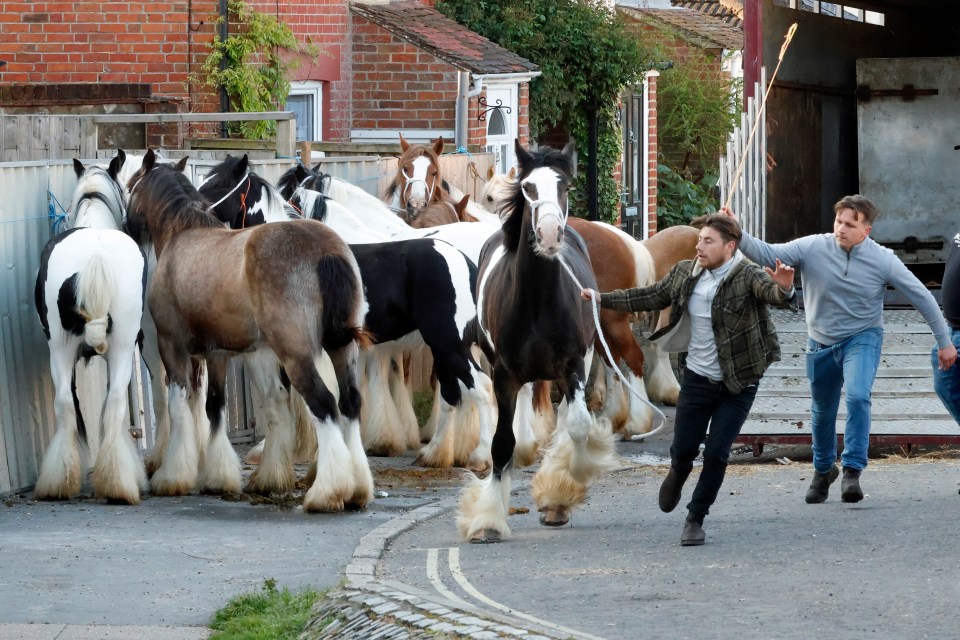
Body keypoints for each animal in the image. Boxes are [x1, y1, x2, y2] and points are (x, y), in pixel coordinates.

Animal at [124, 151, 372, 516]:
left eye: (131, 186)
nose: (126, 228)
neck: (181, 236)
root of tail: (327, 251)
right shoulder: (219, 351)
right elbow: (215, 407)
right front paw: (218, 476)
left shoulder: (173, 346)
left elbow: (179, 406)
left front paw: (173, 476)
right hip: (342, 351)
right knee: (350, 403)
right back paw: (356, 488)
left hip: (297, 358)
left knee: (324, 404)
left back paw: (328, 492)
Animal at [460, 142, 624, 544]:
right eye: (528, 187)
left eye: (565, 186)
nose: (550, 236)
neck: (535, 300)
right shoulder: (504, 375)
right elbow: (502, 443)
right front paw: (488, 520)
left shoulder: (573, 366)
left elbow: (577, 427)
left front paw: (562, 489)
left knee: (566, 421)